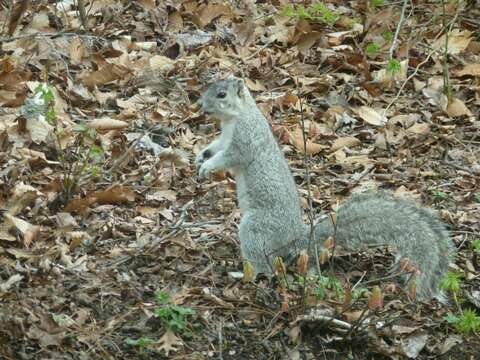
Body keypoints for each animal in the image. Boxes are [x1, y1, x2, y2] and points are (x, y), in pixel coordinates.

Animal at [194, 76, 454, 300]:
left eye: (221, 94)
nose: (201, 105)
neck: (237, 116)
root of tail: (294, 241)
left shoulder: (244, 141)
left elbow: (229, 157)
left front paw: (208, 165)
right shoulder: (224, 138)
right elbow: (216, 147)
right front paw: (202, 156)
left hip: (256, 227)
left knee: (266, 265)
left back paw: (245, 273)